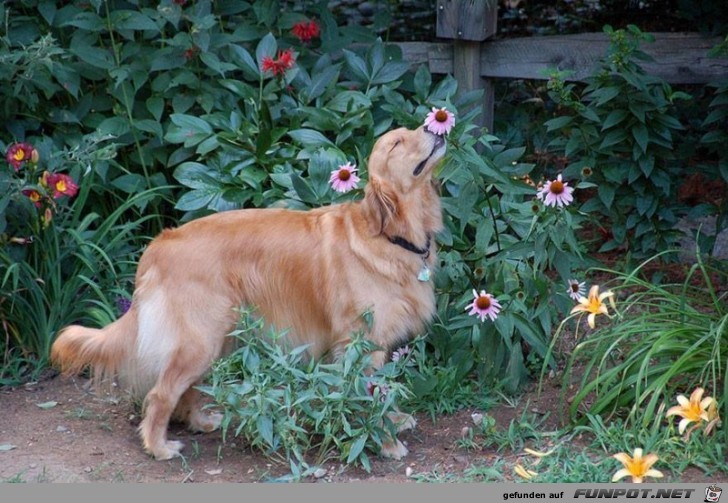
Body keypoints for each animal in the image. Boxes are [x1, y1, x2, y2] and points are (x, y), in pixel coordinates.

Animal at [49, 125, 444, 460]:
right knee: (161, 393)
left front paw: (396, 421)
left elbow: (385, 391)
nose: (433, 126)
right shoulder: (360, 343)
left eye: (409, 130)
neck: (389, 235)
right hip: (200, 340)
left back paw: (202, 422)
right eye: (397, 142)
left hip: (217, 338)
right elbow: (372, 397)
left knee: (187, 389)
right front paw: (387, 442)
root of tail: (160, 243)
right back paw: (159, 446)